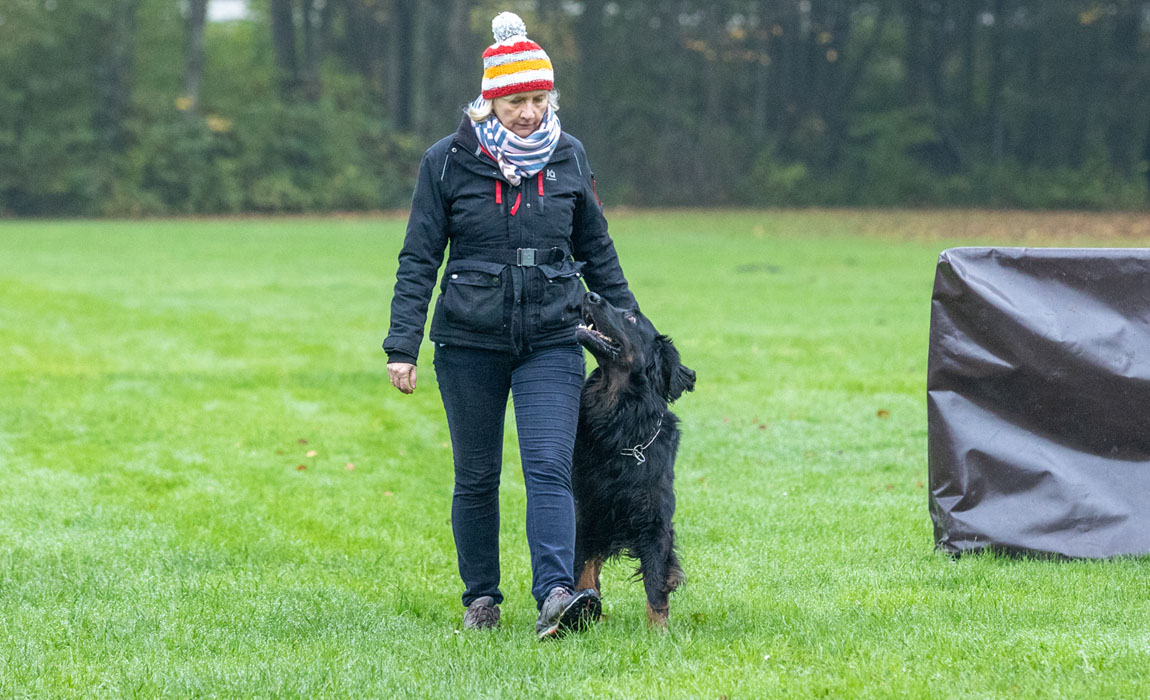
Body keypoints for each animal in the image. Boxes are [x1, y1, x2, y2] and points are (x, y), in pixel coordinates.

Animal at [572, 290, 694, 629]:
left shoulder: (654, 521)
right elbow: (583, 572)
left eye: (631, 318)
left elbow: (656, 585)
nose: (589, 294)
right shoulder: (586, 513)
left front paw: (659, 633)